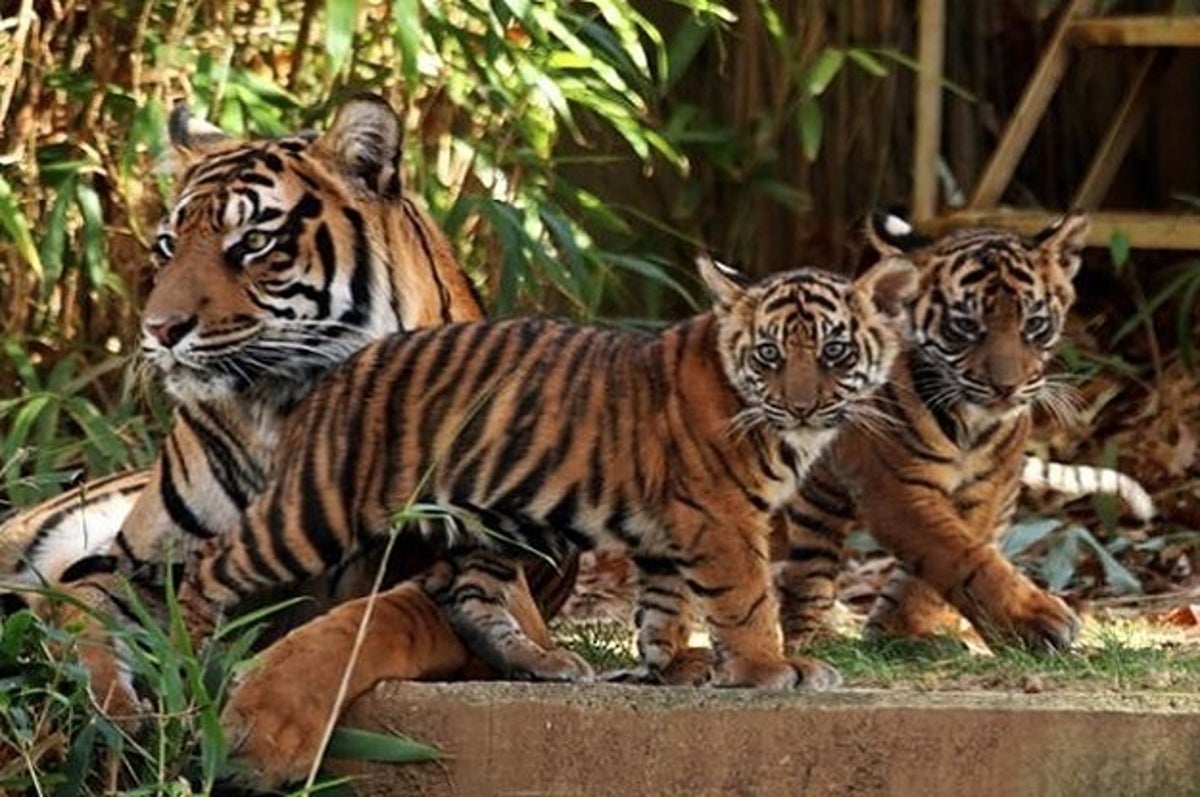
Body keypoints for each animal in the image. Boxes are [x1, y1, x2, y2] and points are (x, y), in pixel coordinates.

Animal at [1, 93, 571, 715]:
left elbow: (378, 618)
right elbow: (90, 627)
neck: (282, 414)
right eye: (169, 246)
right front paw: (112, 711)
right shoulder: (142, 570)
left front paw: (265, 717)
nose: (158, 330)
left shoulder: (500, 601)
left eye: (254, 243)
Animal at [772, 213, 1099, 652]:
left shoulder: (985, 492)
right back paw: (812, 637)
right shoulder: (896, 488)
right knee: (807, 565)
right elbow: (957, 555)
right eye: (965, 325)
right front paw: (1037, 620)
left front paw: (900, 630)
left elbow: (948, 560)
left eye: (1035, 324)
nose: (1006, 386)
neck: (970, 424)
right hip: (819, 496)